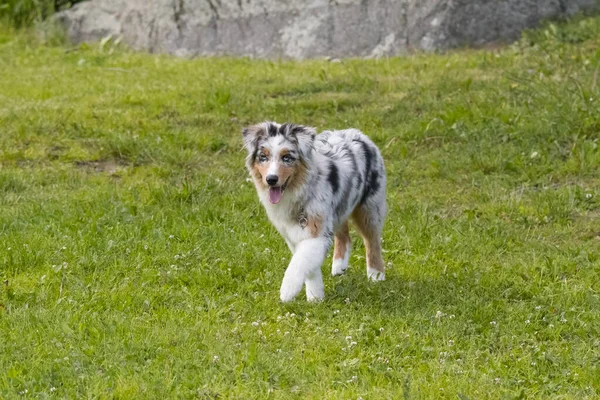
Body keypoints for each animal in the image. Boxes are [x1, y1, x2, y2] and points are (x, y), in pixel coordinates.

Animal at [241, 122, 386, 304]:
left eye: (287, 157)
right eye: (263, 157)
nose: (271, 179)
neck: (300, 191)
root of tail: (357, 133)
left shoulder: (317, 231)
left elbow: (300, 261)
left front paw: (287, 290)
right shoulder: (294, 234)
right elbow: (309, 266)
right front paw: (315, 297)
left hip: (369, 207)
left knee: (372, 240)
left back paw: (376, 274)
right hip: (339, 207)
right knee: (344, 235)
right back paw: (339, 265)